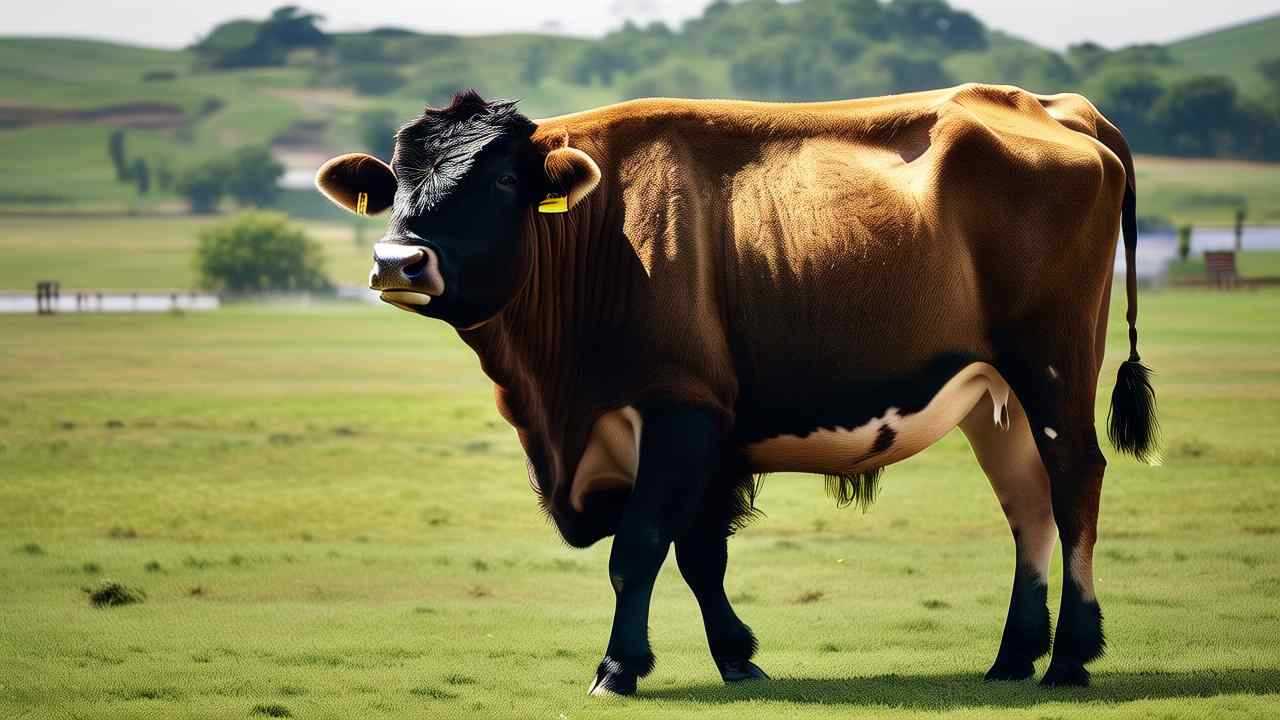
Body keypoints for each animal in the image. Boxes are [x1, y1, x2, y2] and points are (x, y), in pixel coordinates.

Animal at [314, 85, 1157, 696]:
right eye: (396, 183)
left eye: (496, 179)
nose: (397, 262)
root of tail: (1051, 106)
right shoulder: (702, 439)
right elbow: (698, 556)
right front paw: (738, 657)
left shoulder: (680, 411)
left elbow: (640, 547)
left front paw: (618, 668)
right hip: (993, 394)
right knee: (1027, 503)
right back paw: (1014, 656)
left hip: (1053, 365)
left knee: (1074, 482)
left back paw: (1071, 657)